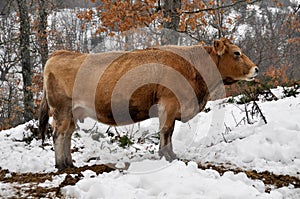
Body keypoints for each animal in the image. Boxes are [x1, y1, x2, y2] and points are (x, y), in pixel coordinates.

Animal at [37, 37, 258, 169]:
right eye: (237, 53)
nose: (256, 69)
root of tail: (59, 54)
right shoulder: (169, 104)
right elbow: (166, 131)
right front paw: (167, 156)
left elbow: (168, 132)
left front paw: (169, 154)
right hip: (62, 110)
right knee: (59, 134)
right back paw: (61, 164)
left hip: (71, 113)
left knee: (67, 134)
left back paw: (69, 163)